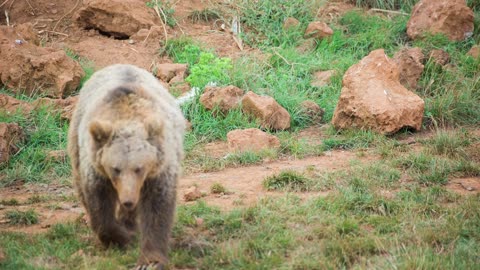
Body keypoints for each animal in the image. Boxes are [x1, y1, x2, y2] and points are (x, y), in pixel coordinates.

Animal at [67, 63, 186, 270]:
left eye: (139, 168)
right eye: (116, 168)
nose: (128, 200)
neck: (126, 116)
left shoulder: (160, 168)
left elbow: (157, 209)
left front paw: (150, 260)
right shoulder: (96, 169)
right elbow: (99, 206)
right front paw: (121, 238)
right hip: (76, 140)